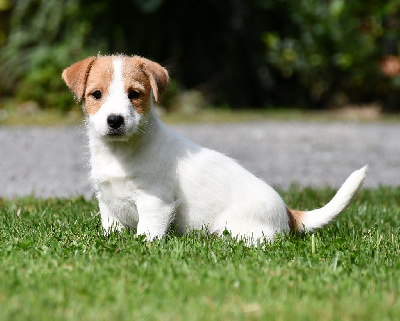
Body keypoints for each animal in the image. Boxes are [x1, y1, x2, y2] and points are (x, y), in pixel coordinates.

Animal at [61, 53, 366, 241]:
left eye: (134, 94)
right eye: (96, 95)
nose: (115, 120)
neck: (121, 152)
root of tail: (289, 214)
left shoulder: (154, 200)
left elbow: (148, 231)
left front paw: (142, 246)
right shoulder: (107, 201)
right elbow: (111, 228)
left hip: (241, 230)